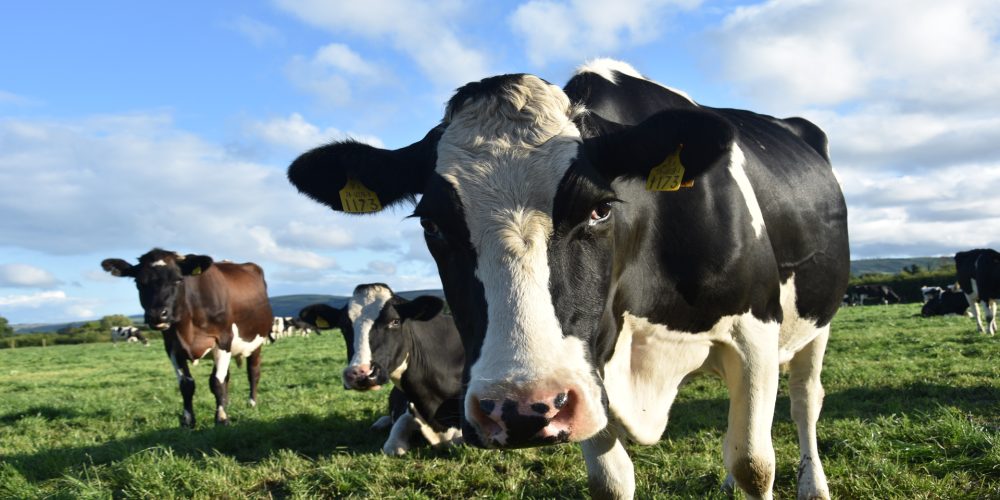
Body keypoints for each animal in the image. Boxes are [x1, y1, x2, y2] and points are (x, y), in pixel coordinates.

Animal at [101, 248, 272, 427]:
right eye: (139, 282)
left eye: (177, 279)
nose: (157, 315)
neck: (187, 326)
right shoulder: (172, 347)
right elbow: (187, 385)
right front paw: (188, 420)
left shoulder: (223, 341)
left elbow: (216, 382)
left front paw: (221, 418)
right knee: (227, 376)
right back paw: (227, 402)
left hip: (256, 342)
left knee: (253, 371)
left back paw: (251, 402)